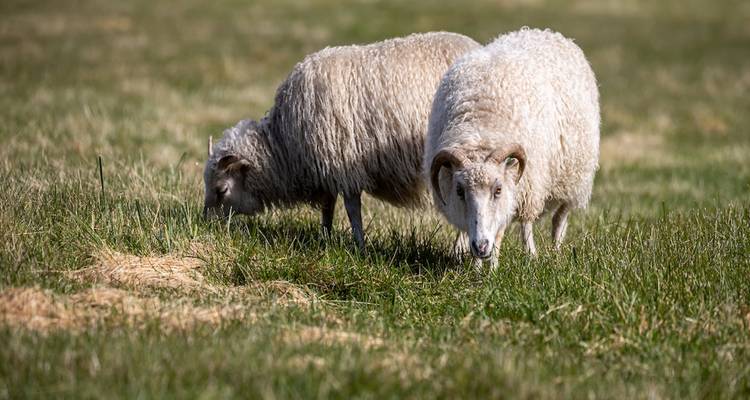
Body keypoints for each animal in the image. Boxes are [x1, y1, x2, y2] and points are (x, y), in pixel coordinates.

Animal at [203, 32, 480, 250]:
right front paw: (325, 237)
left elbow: (351, 209)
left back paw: (460, 248)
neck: (283, 147)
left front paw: (359, 246)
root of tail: (476, 46)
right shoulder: (326, 169)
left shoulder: (343, 163)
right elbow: (328, 206)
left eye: (221, 190)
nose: (206, 225)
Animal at [424, 28, 600, 268]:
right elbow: (476, 229)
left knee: (556, 218)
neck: (481, 128)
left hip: (571, 175)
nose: (481, 246)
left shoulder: (517, 187)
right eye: (460, 191)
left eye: (498, 190)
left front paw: (494, 268)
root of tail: (544, 32)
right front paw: (477, 267)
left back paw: (548, 251)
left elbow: (503, 231)